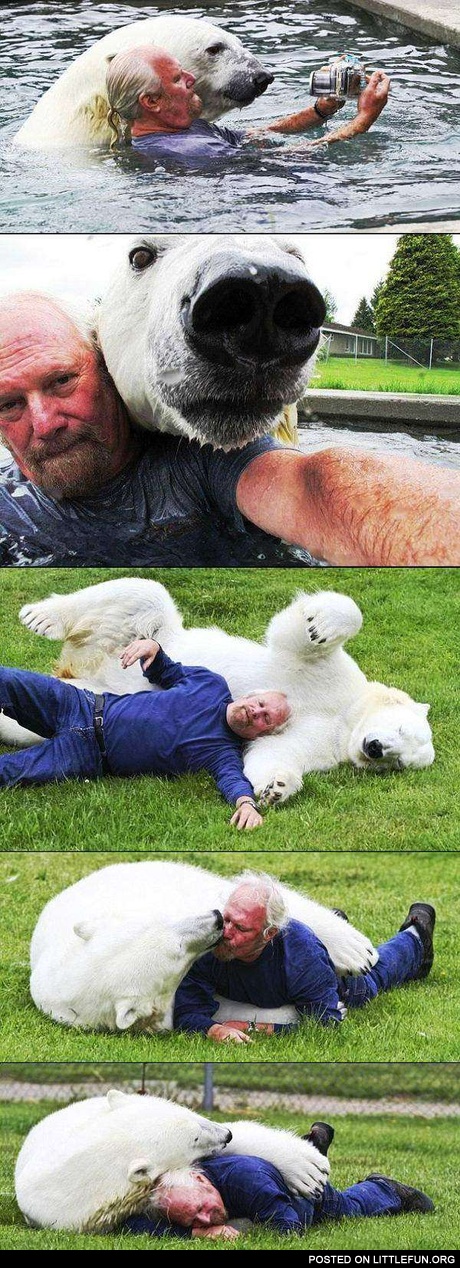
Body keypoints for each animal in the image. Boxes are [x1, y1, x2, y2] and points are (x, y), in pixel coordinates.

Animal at [5, 578, 435, 809]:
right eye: (401, 729)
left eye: (398, 764)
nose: (376, 748)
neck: (346, 715)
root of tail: (85, 666)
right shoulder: (328, 677)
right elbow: (295, 634)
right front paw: (321, 625)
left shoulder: (327, 741)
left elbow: (275, 752)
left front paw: (277, 787)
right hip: (135, 635)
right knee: (142, 592)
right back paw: (41, 616)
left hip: (83, 693)